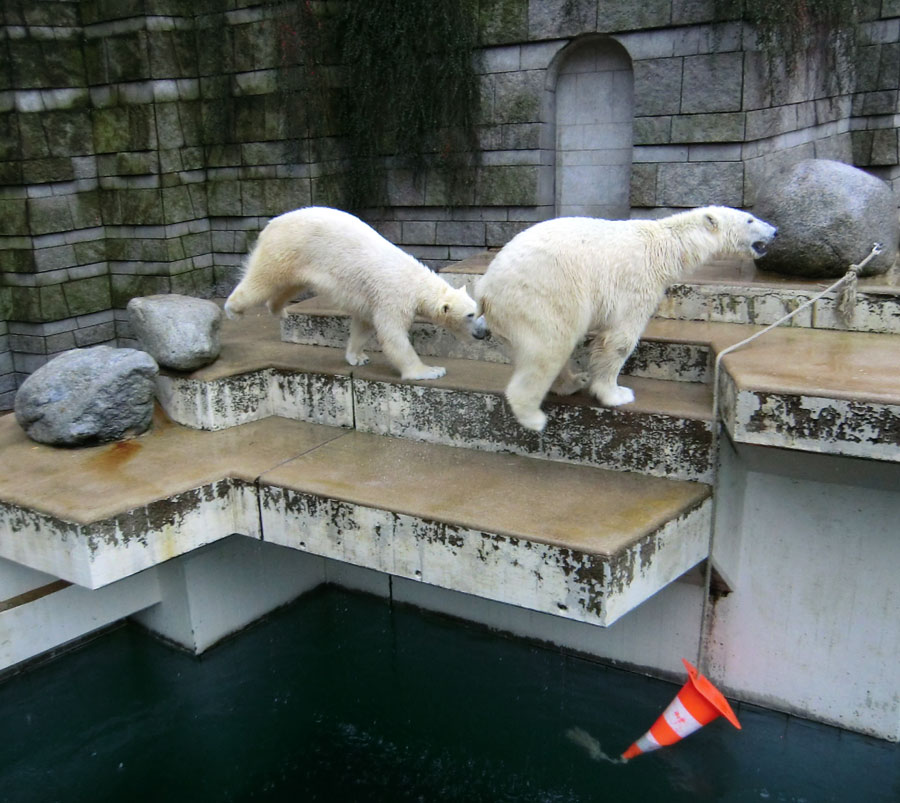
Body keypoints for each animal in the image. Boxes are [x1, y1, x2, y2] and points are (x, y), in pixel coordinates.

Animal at [229, 207, 488, 384]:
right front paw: (429, 371)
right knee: (262, 280)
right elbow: (393, 337)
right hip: (287, 247)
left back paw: (278, 309)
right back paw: (233, 309)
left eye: (478, 311)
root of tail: (272, 223)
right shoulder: (393, 297)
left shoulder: (372, 300)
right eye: (470, 314)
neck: (416, 282)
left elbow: (364, 325)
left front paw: (357, 356)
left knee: (288, 286)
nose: (485, 332)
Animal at [474, 207, 776, 434]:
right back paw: (534, 416)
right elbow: (618, 338)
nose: (775, 230)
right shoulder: (637, 281)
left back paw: (574, 381)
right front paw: (616, 394)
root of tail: (485, 288)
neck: (666, 246)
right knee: (549, 347)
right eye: (750, 219)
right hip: (541, 296)